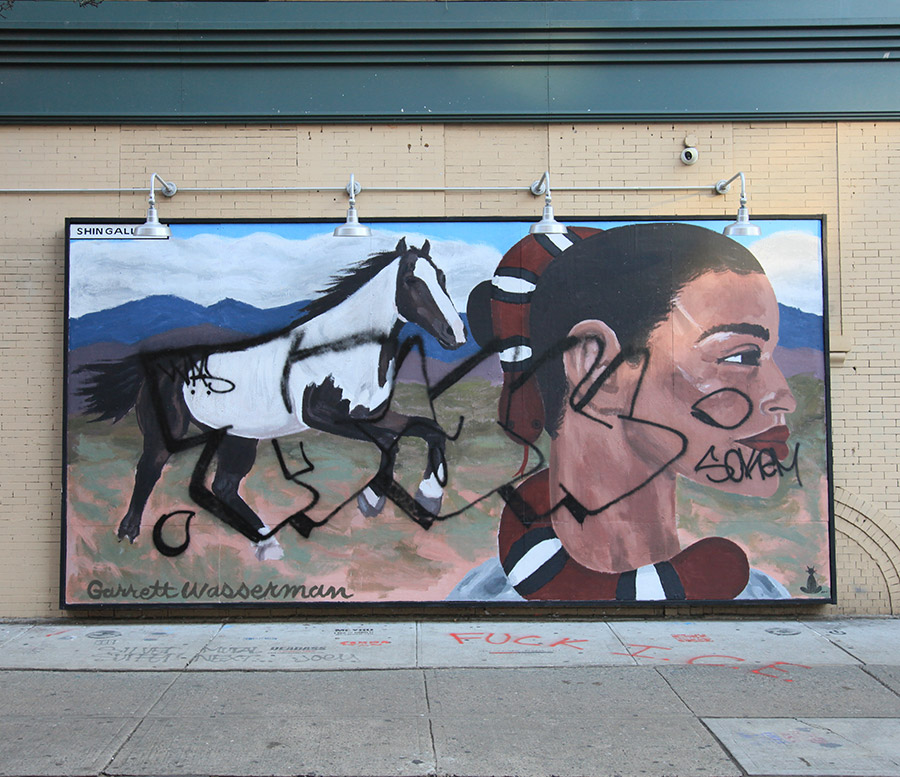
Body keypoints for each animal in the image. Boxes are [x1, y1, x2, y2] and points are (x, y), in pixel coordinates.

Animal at [76, 238, 467, 560]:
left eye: (443, 278)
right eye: (413, 282)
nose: (456, 334)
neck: (341, 349)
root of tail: (159, 362)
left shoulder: (369, 414)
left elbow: (426, 430)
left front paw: (425, 498)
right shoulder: (327, 415)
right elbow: (393, 443)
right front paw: (377, 500)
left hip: (240, 437)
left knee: (224, 486)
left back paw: (266, 544)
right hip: (166, 434)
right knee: (149, 470)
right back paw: (128, 534)